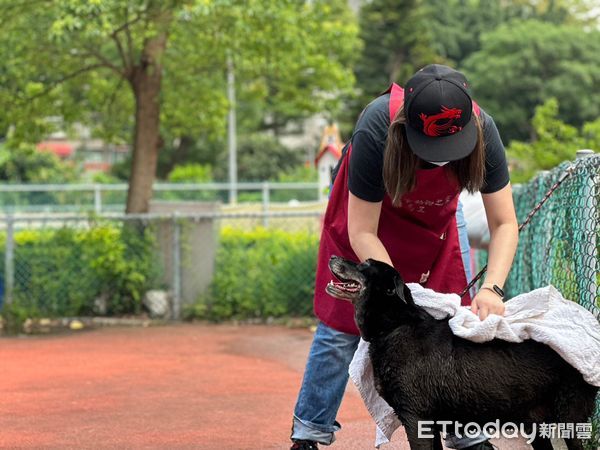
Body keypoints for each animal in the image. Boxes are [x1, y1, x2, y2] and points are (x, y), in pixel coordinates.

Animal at [328, 256, 600, 450]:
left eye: (365, 264)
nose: (331, 256)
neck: (395, 325)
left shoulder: (416, 417)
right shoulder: (430, 423)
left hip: (570, 418)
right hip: (534, 422)